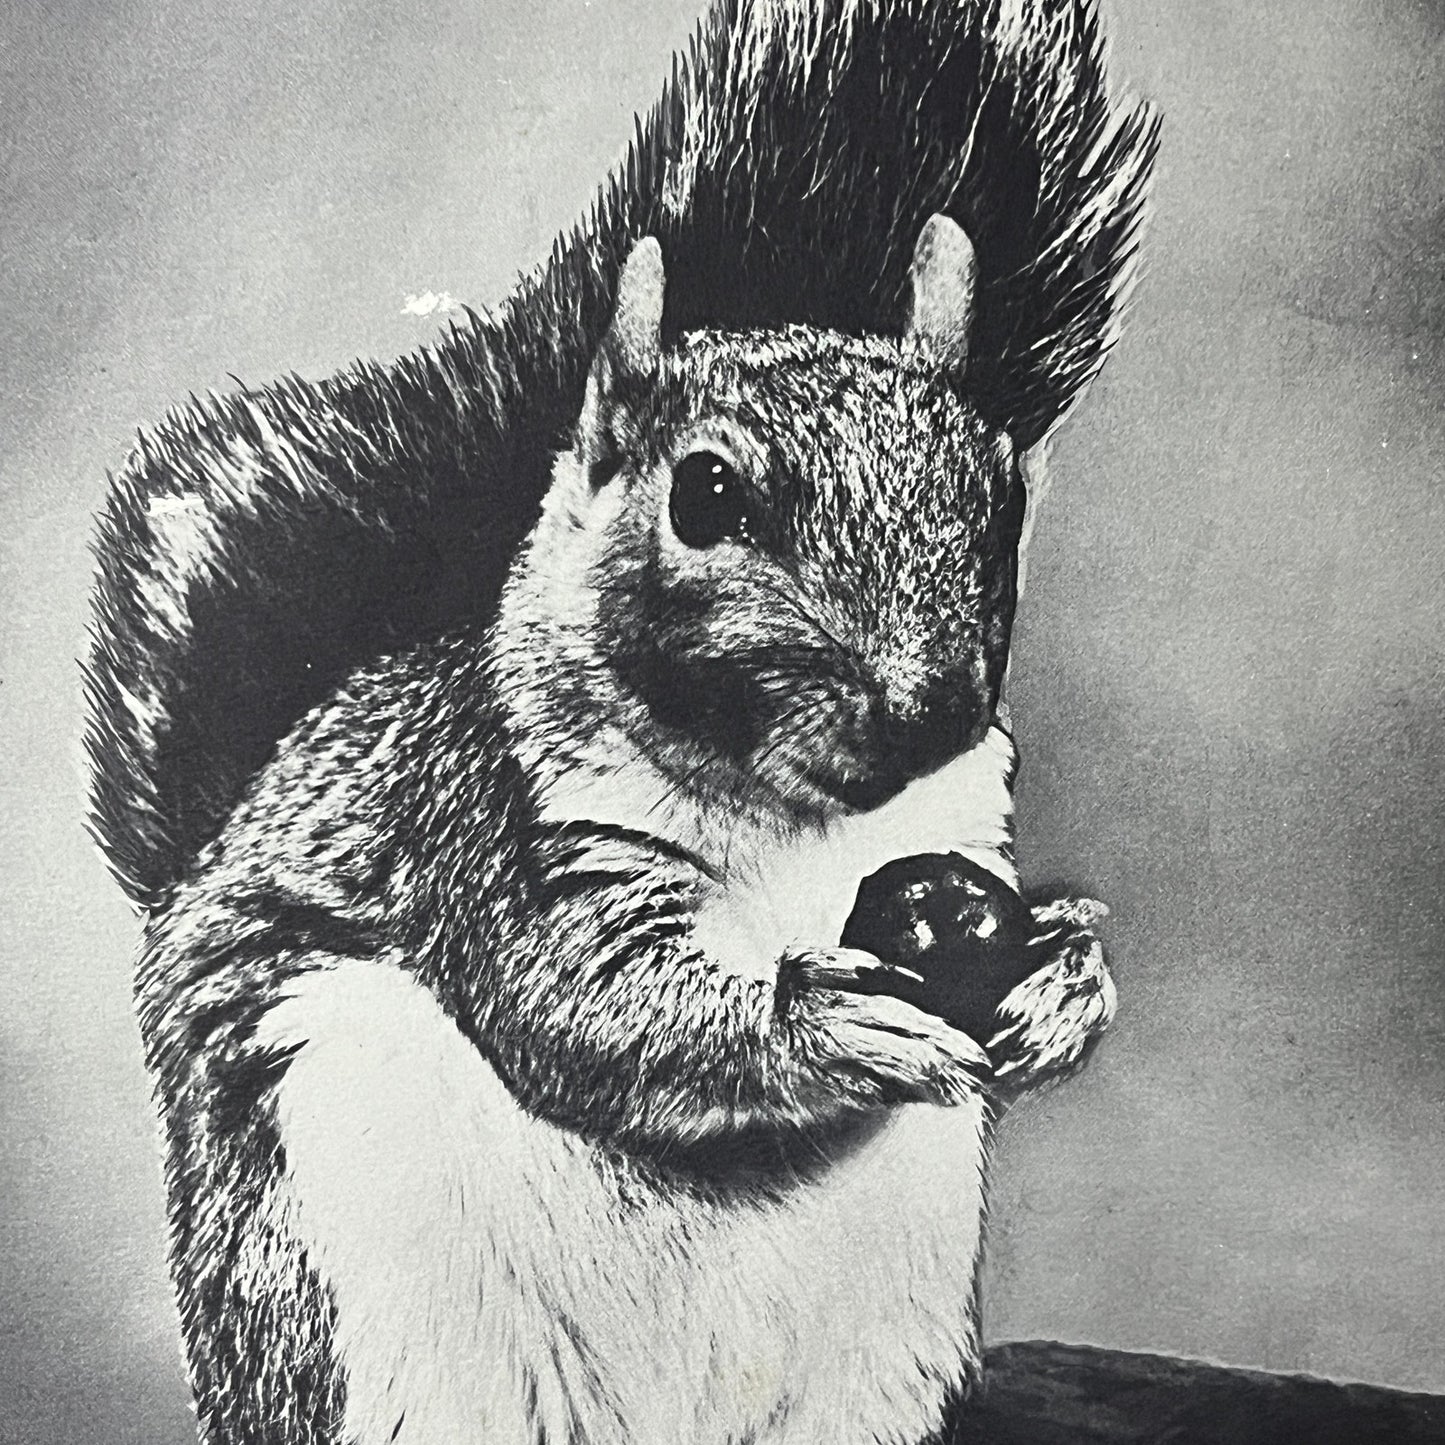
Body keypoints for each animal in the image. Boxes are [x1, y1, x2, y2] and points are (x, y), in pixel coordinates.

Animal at [84, 0, 1158, 1441]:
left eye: (1001, 491)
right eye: (703, 495)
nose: (928, 706)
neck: (796, 821)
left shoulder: (958, 825)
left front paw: (1060, 977)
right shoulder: (493, 821)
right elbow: (576, 1002)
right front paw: (815, 1027)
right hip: (358, 1291)